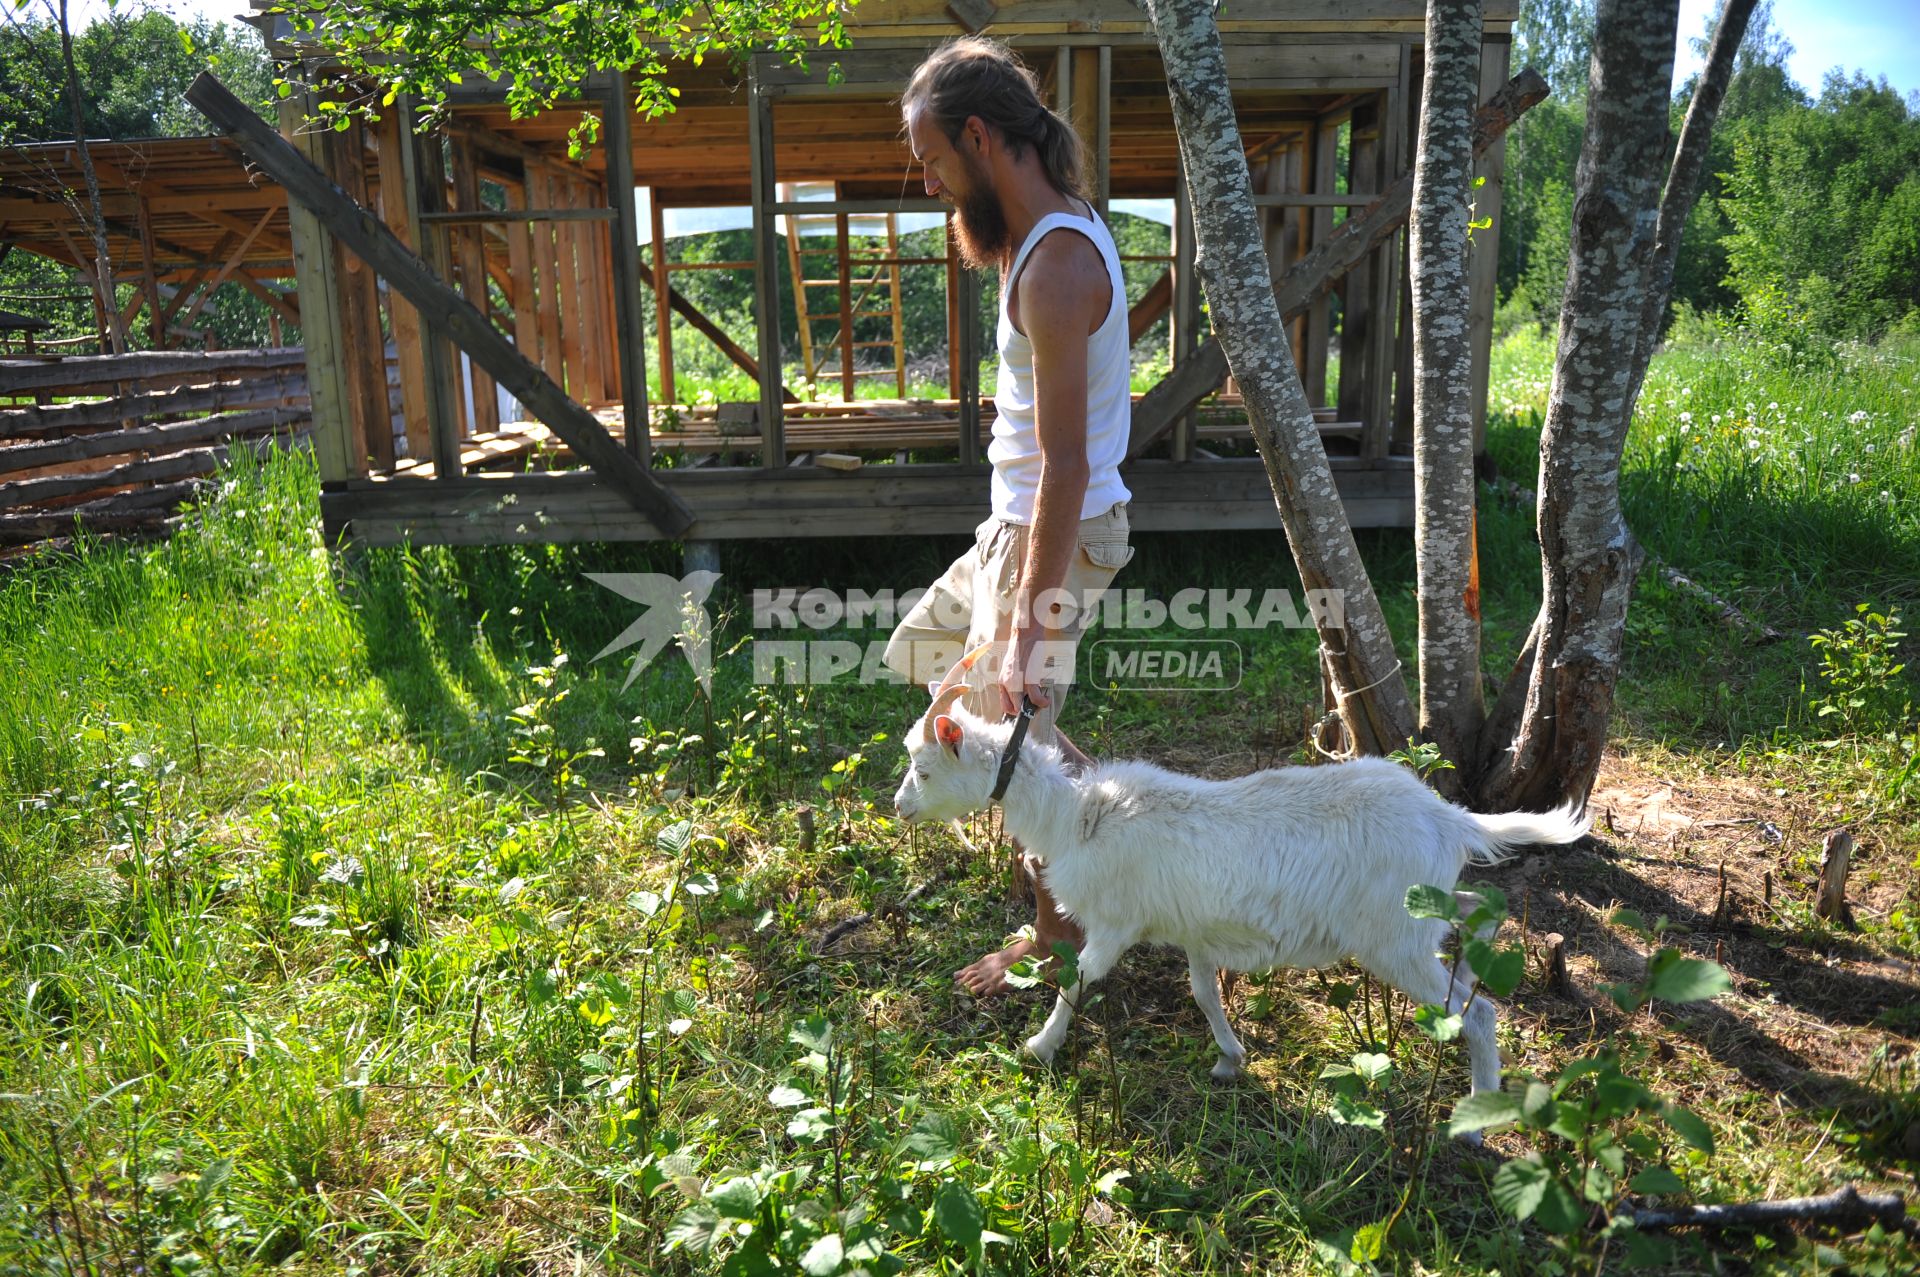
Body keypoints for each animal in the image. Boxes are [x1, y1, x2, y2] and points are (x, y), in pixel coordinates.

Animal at [890, 656, 1582, 1098]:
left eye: (923, 770)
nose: (899, 807)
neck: (1076, 817)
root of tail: (1447, 817)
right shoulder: (1193, 930)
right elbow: (1203, 993)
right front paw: (1230, 1060)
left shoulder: (1115, 924)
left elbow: (1075, 979)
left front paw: (1038, 1048)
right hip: (1419, 911)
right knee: (1474, 914)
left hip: (1393, 938)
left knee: (1479, 1011)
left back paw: (1479, 1112)